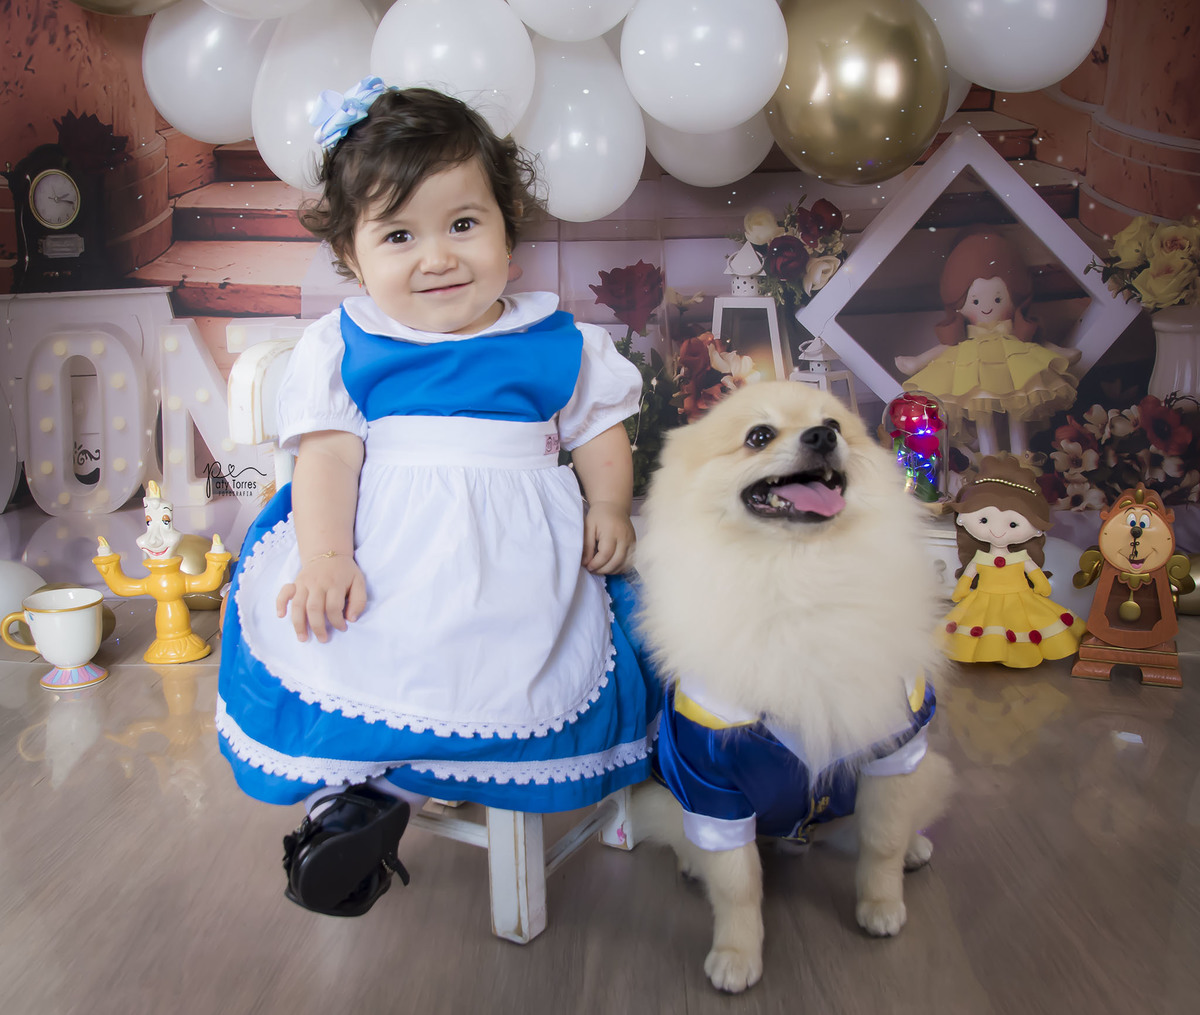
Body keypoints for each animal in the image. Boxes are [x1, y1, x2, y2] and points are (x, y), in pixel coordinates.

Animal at [631, 381, 954, 993]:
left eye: (835, 423)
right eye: (759, 436)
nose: (822, 437)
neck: (799, 574)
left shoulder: (894, 746)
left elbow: (881, 841)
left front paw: (881, 905)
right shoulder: (710, 781)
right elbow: (738, 883)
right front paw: (737, 954)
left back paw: (917, 848)